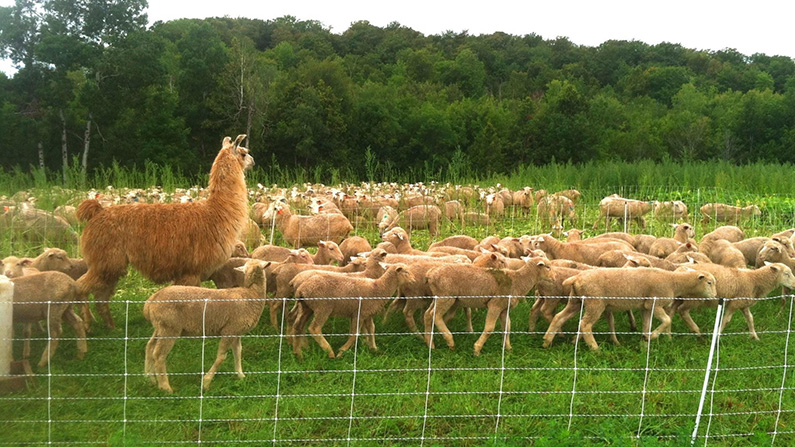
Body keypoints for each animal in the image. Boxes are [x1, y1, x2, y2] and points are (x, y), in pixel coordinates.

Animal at [76, 135, 253, 330]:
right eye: (244, 153)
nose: (253, 161)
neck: (217, 211)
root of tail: (97, 212)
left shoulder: (184, 271)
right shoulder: (192, 269)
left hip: (110, 263)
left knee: (101, 295)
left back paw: (111, 326)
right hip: (105, 259)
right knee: (81, 287)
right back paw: (86, 324)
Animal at [146, 260, 274, 394]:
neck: (251, 293)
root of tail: (151, 300)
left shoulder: (236, 331)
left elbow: (238, 352)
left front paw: (241, 376)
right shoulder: (229, 330)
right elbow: (221, 357)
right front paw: (206, 382)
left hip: (160, 327)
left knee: (149, 347)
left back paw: (151, 379)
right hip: (170, 328)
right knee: (159, 355)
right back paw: (165, 387)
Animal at [544, 268, 720, 352]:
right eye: (709, 282)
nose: (716, 297)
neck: (673, 281)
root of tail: (575, 278)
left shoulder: (646, 307)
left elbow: (646, 326)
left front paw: (644, 343)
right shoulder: (655, 303)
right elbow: (667, 320)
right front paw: (653, 337)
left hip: (576, 301)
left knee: (559, 317)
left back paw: (547, 341)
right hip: (595, 303)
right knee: (585, 324)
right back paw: (595, 349)